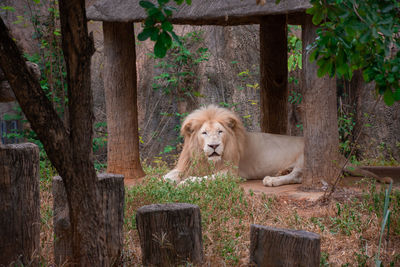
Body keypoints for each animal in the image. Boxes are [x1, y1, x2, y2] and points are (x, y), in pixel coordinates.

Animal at [164, 104, 392, 186]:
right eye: (204, 133)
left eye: (220, 132)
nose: (213, 146)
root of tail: (338, 156)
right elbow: (171, 174)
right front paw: (166, 180)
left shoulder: (231, 173)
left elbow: (201, 179)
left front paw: (186, 182)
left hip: (306, 157)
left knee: (298, 177)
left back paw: (272, 180)